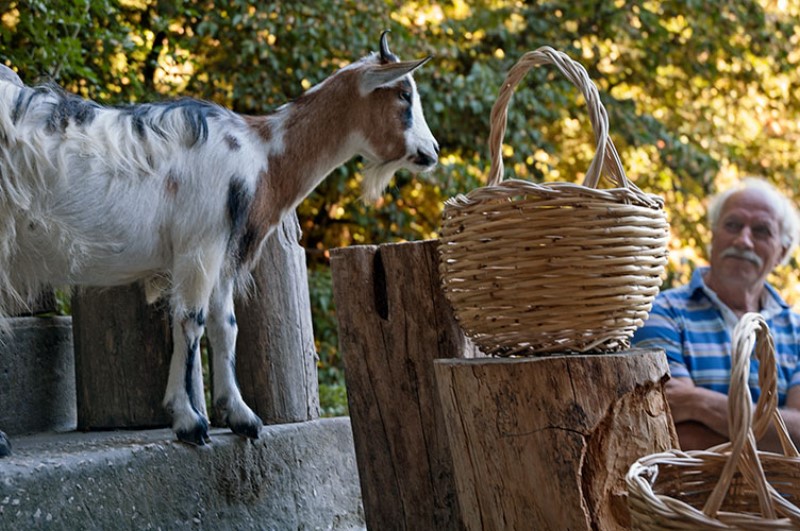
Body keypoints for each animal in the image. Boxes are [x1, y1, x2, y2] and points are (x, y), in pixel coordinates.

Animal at [0, 33, 438, 446]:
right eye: (404, 94)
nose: (432, 151)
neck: (263, 154)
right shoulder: (201, 244)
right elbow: (191, 321)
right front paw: (189, 421)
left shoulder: (223, 254)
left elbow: (225, 326)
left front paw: (238, 415)